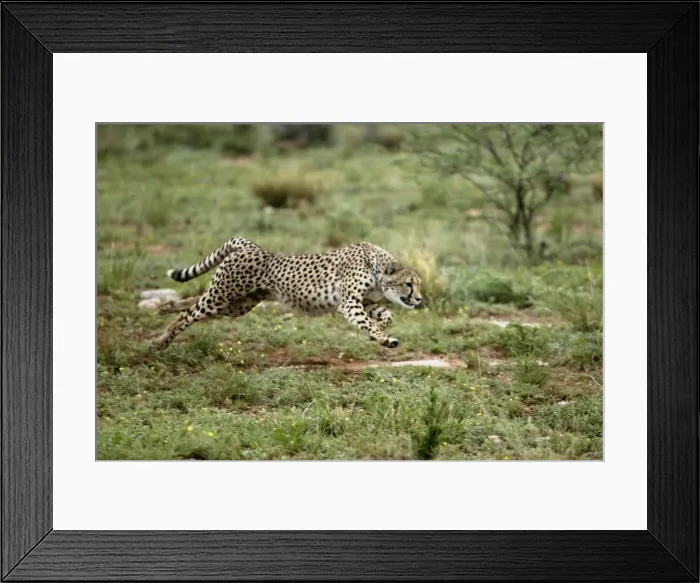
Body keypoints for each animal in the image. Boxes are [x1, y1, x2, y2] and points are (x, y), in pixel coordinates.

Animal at [151, 237, 423, 350]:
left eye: (418, 284)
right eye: (409, 284)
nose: (419, 299)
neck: (377, 265)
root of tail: (251, 245)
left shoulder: (362, 302)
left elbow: (386, 315)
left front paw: (379, 330)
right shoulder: (349, 303)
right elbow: (371, 322)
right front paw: (383, 338)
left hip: (236, 304)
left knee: (192, 302)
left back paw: (165, 308)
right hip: (223, 295)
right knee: (190, 314)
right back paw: (161, 340)